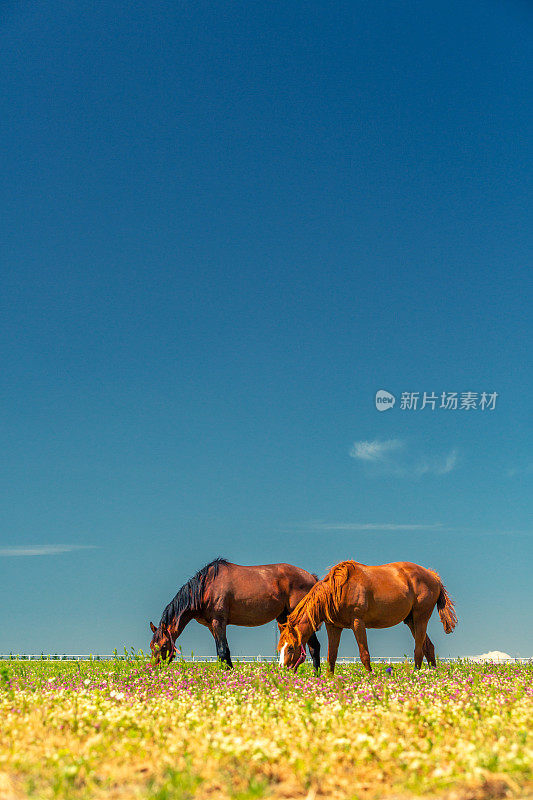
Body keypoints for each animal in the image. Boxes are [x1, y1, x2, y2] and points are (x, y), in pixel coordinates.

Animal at [149, 556, 320, 668]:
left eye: (163, 646)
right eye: (151, 646)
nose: (155, 668)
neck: (205, 588)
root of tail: (311, 577)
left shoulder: (219, 622)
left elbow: (223, 651)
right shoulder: (212, 626)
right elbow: (224, 653)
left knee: (314, 647)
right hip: (285, 618)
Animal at [276, 560, 456, 672]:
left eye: (290, 648)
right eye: (279, 648)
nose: (283, 671)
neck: (338, 590)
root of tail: (433, 576)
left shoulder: (358, 623)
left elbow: (364, 655)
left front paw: (371, 678)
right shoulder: (333, 626)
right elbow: (331, 657)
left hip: (421, 618)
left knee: (418, 650)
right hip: (411, 621)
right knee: (428, 647)